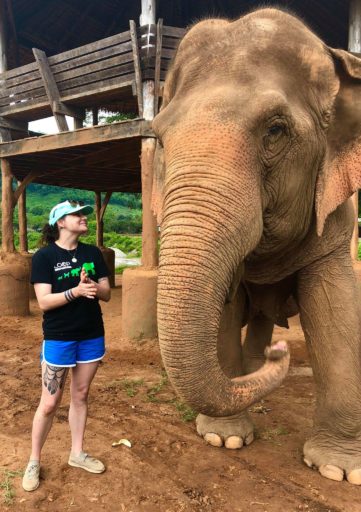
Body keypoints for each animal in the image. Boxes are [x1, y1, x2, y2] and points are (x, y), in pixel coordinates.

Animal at [151, 9, 361, 488]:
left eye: (276, 130)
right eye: (160, 140)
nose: (281, 355)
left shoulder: (335, 221)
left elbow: (336, 312)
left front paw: (340, 470)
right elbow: (226, 316)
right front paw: (225, 439)